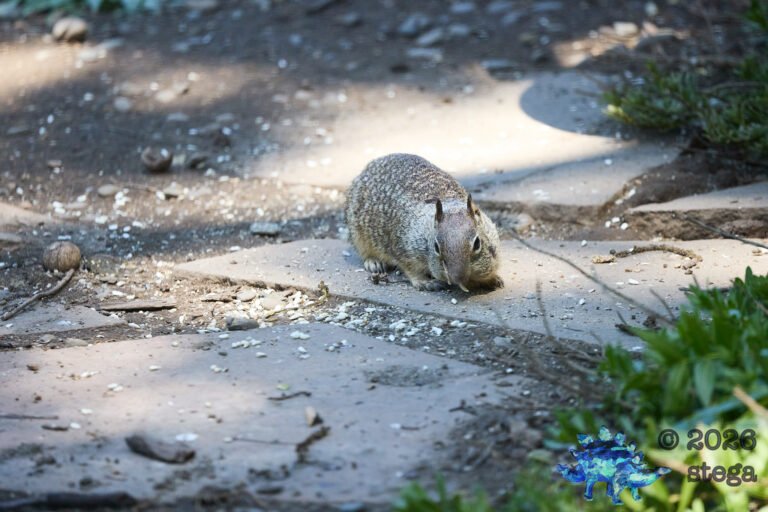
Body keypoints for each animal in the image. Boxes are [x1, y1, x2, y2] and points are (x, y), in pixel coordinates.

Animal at [344, 153, 503, 292]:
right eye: (436, 247)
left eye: (477, 243)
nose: (457, 278)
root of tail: (373, 163)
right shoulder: (404, 248)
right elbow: (411, 270)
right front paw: (426, 282)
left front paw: (492, 279)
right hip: (358, 235)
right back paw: (374, 262)